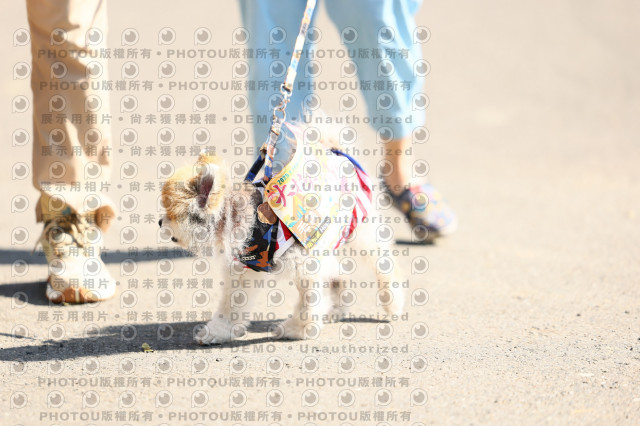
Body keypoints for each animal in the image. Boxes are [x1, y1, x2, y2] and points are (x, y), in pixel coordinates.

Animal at [159, 125, 405, 344]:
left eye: (171, 214)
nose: (160, 222)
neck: (250, 223)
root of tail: (336, 151)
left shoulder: (305, 266)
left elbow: (308, 303)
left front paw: (298, 330)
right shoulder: (247, 268)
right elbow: (232, 305)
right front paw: (219, 331)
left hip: (360, 229)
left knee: (385, 266)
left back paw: (392, 303)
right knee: (338, 275)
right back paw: (336, 310)